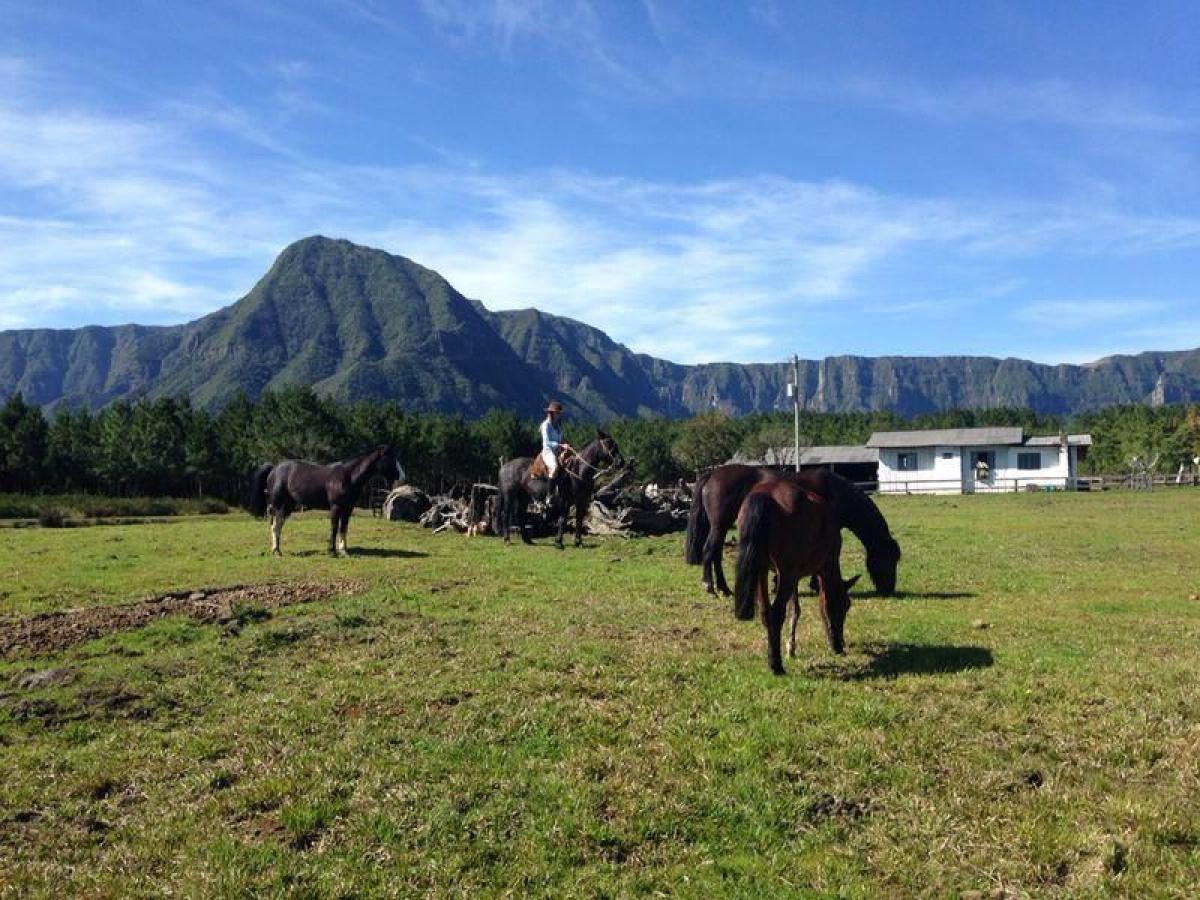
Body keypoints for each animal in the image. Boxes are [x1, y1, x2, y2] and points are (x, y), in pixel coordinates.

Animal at [249, 446, 408, 556]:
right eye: (390, 458)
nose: (402, 477)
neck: (348, 476)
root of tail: (274, 469)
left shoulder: (347, 508)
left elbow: (343, 528)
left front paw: (344, 550)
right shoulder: (336, 507)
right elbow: (334, 527)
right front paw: (332, 551)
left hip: (287, 506)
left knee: (278, 525)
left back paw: (276, 549)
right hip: (279, 505)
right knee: (275, 526)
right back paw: (277, 551)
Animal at [496, 432, 628, 549]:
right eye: (609, 443)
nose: (621, 462)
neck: (578, 471)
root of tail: (504, 467)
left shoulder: (581, 502)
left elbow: (579, 520)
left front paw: (578, 542)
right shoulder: (566, 501)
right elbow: (562, 520)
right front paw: (558, 542)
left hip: (523, 496)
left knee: (520, 515)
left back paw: (527, 540)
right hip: (509, 496)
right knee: (505, 515)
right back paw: (507, 539)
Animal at [686, 465, 902, 600]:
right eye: (890, 559)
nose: (889, 589)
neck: (835, 492)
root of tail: (712, 475)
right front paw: (814, 584)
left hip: (721, 527)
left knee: (716, 555)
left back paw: (724, 589)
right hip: (719, 525)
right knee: (709, 551)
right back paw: (710, 587)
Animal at [734, 482, 859, 672]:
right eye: (845, 606)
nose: (840, 644)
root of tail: (765, 493)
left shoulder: (792, 576)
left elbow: (796, 608)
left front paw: (791, 647)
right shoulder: (819, 569)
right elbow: (818, 605)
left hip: (762, 570)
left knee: (765, 612)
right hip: (785, 573)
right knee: (776, 614)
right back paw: (776, 665)